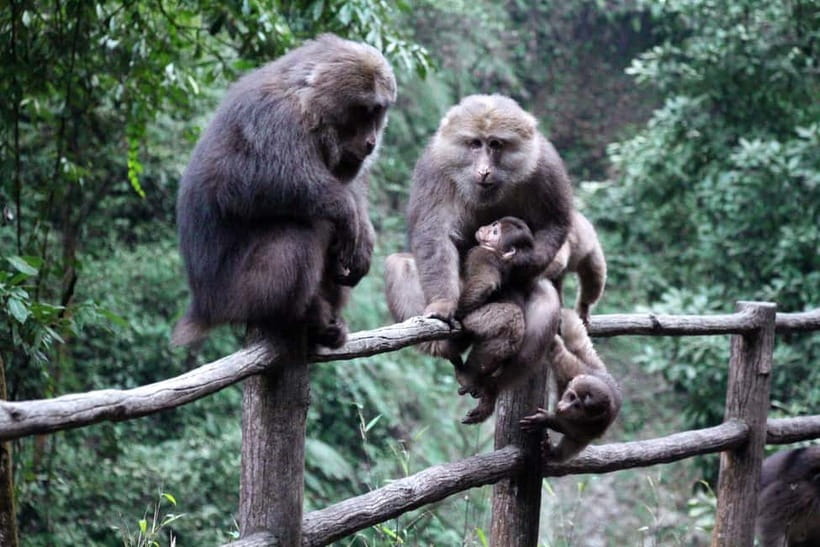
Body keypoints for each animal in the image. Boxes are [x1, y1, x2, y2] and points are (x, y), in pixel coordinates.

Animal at [172, 34, 396, 348]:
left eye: (379, 112)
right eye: (364, 111)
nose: (371, 142)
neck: (308, 107)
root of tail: (202, 308)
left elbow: (351, 189)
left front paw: (364, 235)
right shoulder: (275, 118)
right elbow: (240, 181)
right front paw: (344, 207)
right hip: (236, 296)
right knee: (298, 233)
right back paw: (296, 316)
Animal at [384, 94, 573, 421]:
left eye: (495, 144)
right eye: (474, 144)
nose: (484, 170)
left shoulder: (545, 165)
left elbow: (554, 223)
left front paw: (518, 264)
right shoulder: (435, 167)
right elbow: (435, 233)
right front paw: (442, 306)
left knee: (544, 304)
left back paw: (488, 387)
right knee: (400, 264)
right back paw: (445, 346)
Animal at [520, 308, 622, 461]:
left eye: (577, 406)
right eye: (571, 397)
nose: (563, 407)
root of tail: (600, 373)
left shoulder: (593, 427)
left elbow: (570, 432)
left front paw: (545, 420)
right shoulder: (570, 369)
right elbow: (555, 349)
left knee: (574, 442)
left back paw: (554, 454)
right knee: (575, 341)